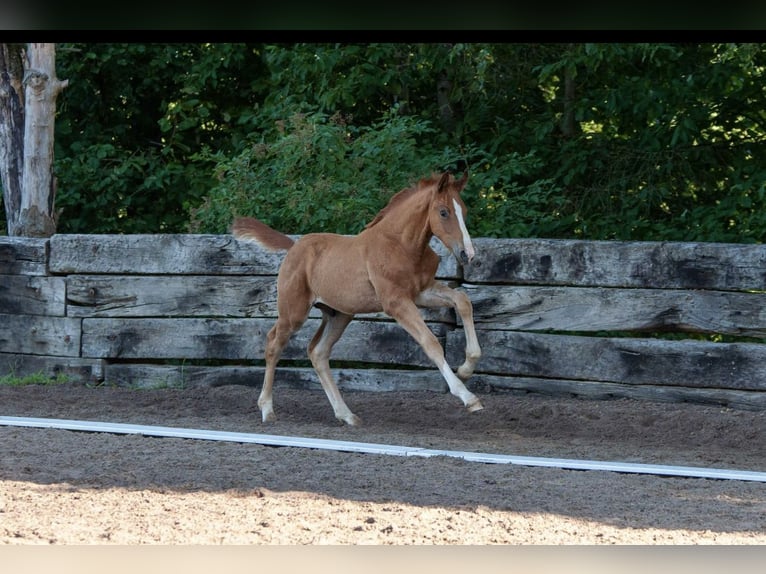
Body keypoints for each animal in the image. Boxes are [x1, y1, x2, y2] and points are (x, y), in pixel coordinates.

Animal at [234, 172, 484, 428]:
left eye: (464, 211)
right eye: (443, 212)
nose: (468, 255)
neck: (401, 245)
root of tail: (294, 246)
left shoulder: (421, 293)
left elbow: (463, 300)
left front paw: (466, 368)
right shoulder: (396, 302)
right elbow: (431, 342)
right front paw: (468, 397)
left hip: (338, 314)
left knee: (318, 352)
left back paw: (346, 414)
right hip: (294, 311)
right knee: (274, 344)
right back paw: (267, 409)